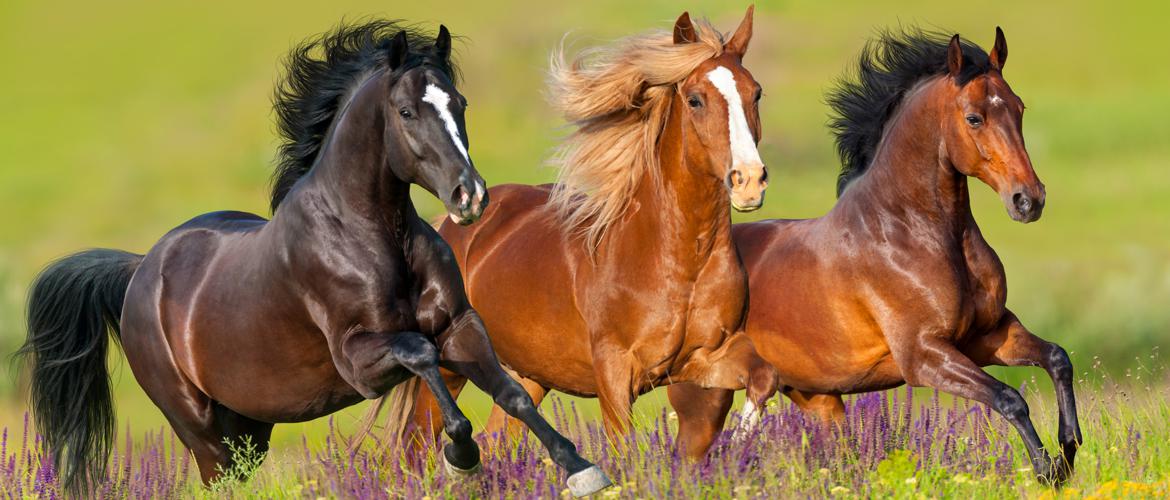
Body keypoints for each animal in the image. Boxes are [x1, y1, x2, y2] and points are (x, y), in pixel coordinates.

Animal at [17, 20, 611, 496]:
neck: (373, 237)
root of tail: (140, 270)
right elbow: (422, 355)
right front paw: (461, 458)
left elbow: (513, 395)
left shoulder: (460, 326)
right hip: (200, 430)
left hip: (249, 428)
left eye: (459, 104)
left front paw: (583, 470)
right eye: (406, 111)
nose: (471, 197)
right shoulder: (360, 360)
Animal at [401, 8, 777, 447]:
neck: (680, 261)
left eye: (755, 93)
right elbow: (623, 447)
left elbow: (763, 377)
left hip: (527, 376)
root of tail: (448, 226)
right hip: (449, 367)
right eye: (696, 99)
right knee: (416, 443)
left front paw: (738, 444)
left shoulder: (704, 357)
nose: (749, 181)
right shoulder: (614, 372)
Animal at [666, 28, 1082, 485]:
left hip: (818, 399)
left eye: (1019, 108)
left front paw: (1069, 449)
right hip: (704, 397)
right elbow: (1010, 398)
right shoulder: (924, 356)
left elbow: (1057, 358)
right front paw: (1047, 471)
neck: (909, 232)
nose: (1028, 200)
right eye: (975, 118)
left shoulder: (988, 335)